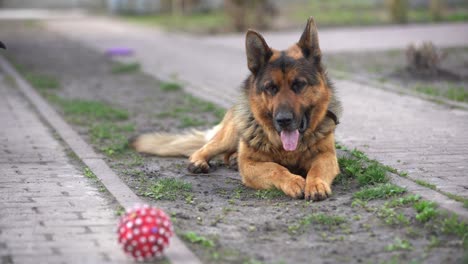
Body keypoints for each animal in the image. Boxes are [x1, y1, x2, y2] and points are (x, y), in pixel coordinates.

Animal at [133, 17, 342, 201]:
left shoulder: (326, 156)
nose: (283, 120)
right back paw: (199, 160)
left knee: (228, 154)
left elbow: (316, 169)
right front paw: (293, 181)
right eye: (271, 88)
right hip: (231, 135)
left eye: (299, 85)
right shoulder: (250, 165)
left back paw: (233, 159)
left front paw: (315, 184)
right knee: (209, 147)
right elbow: (275, 168)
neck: (288, 150)